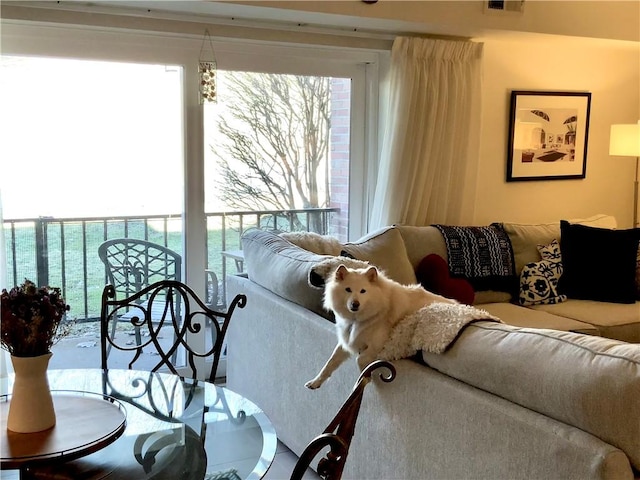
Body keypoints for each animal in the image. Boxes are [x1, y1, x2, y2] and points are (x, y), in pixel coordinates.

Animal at [304, 264, 456, 388]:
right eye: (348, 289)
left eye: (363, 291)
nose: (355, 304)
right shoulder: (347, 342)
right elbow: (330, 363)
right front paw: (315, 382)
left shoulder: (378, 344)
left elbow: (360, 359)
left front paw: (366, 378)